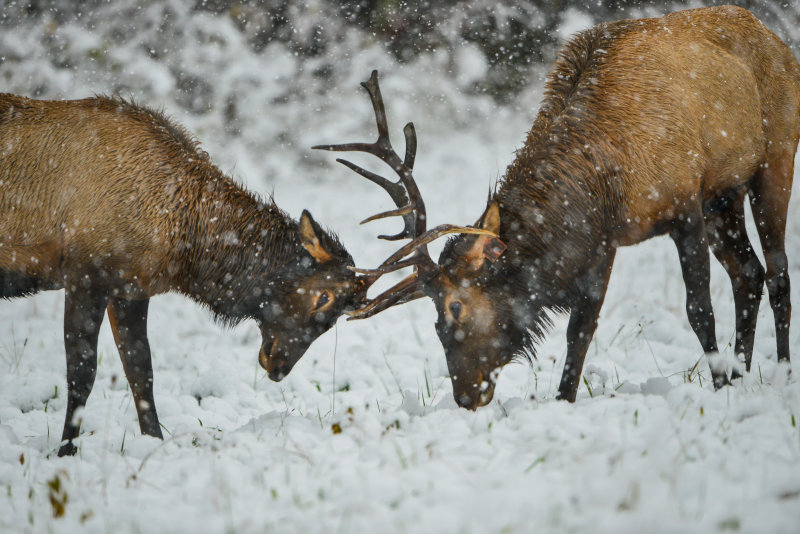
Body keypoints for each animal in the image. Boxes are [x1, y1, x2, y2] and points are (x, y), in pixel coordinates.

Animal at [0, 93, 366, 456]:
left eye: (338, 315)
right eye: (323, 296)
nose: (279, 368)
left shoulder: (131, 289)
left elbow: (141, 369)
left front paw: (155, 444)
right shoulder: (84, 275)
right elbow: (82, 372)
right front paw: (65, 452)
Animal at [318, 5, 800, 410]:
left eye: (454, 309)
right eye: (434, 321)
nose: (466, 397)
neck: (606, 179)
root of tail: (776, 39)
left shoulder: (684, 206)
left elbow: (698, 309)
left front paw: (716, 388)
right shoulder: (603, 240)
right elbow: (580, 329)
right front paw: (564, 399)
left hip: (775, 160)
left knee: (777, 272)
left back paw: (778, 372)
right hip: (724, 196)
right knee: (748, 273)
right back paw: (742, 373)